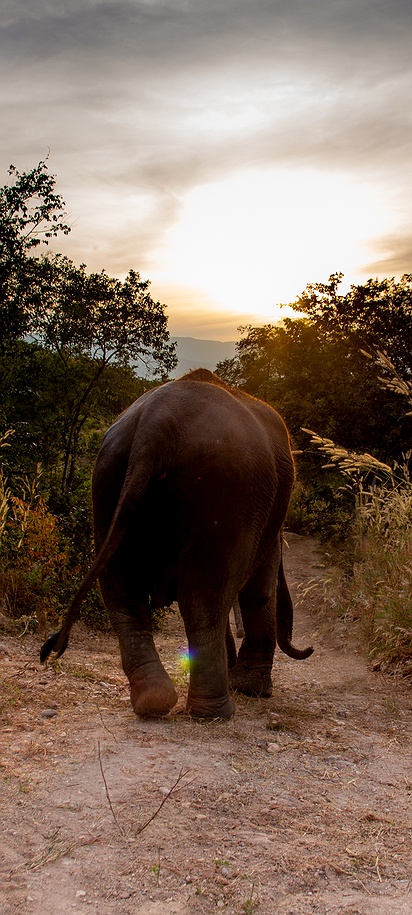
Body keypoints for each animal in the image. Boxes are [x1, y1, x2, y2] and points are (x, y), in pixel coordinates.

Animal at [40, 368, 313, 718]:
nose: (309, 648)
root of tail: (154, 428)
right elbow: (259, 588)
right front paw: (251, 689)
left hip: (107, 480)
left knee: (124, 593)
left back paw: (153, 701)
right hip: (221, 488)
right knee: (203, 598)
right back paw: (214, 712)